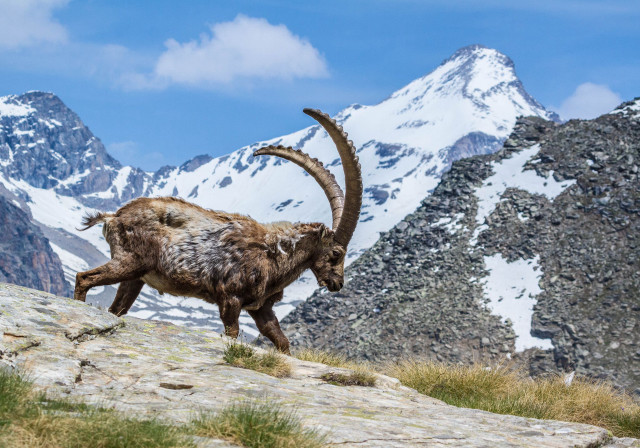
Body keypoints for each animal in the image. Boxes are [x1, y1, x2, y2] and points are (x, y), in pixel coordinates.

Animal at [74, 108, 363, 354]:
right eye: (336, 253)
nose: (337, 284)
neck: (274, 253)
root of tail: (115, 217)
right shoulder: (230, 298)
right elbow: (232, 333)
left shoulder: (261, 308)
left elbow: (281, 341)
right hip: (128, 261)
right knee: (83, 277)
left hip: (136, 277)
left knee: (116, 308)